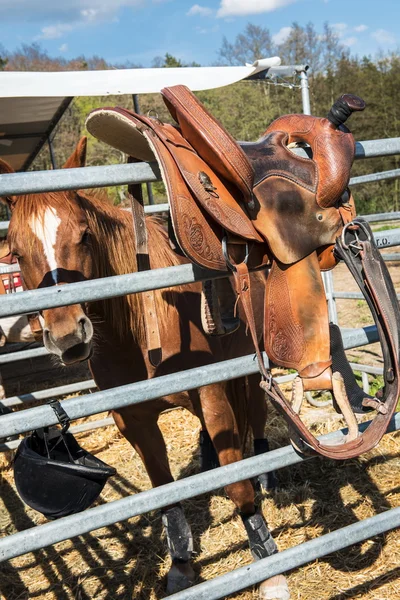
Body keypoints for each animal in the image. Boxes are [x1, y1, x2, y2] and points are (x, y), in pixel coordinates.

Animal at [0, 138, 290, 596]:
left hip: (248, 368)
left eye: (84, 235)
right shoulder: (133, 418)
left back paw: (266, 473)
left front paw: (269, 565)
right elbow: (163, 491)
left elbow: (238, 482)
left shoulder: (210, 393)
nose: (68, 338)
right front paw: (181, 564)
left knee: (257, 418)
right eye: (15, 250)